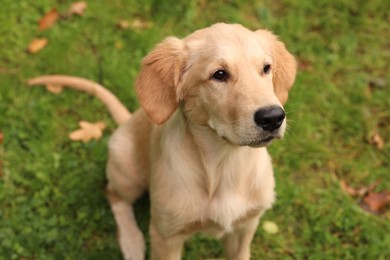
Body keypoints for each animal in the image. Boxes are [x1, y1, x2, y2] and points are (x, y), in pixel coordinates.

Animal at [29, 22, 298, 260]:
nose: (273, 117)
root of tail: (127, 120)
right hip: (127, 171)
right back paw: (132, 242)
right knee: (113, 195)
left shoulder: (244, 228)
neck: (225, 163)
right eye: (219, 74)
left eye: (266, 68)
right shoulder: (166, 235)